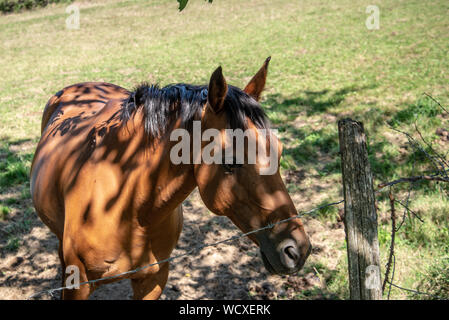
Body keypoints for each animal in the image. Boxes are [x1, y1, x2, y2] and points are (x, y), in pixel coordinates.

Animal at [30, 58, 312, 300]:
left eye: (279, 152)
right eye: (230, 161)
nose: (297, 250)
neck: (127, 206)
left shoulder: (154, 279)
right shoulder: (77, 286)